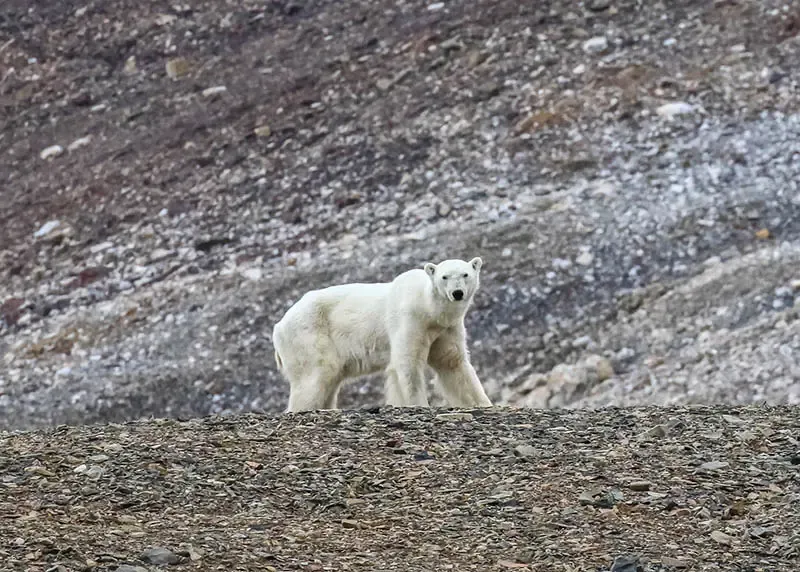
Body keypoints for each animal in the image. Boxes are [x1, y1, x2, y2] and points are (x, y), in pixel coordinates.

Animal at [272, 257, 493, 412]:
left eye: (465, 274)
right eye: (444, 277)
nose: (457, 293)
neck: (428, 308)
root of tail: (279, 326)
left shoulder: (446, 328)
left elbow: (452, 363)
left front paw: (483, 403)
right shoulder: (410, 320)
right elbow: (407, 364)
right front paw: (418, 403)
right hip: (308, 334)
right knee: (315, 375)